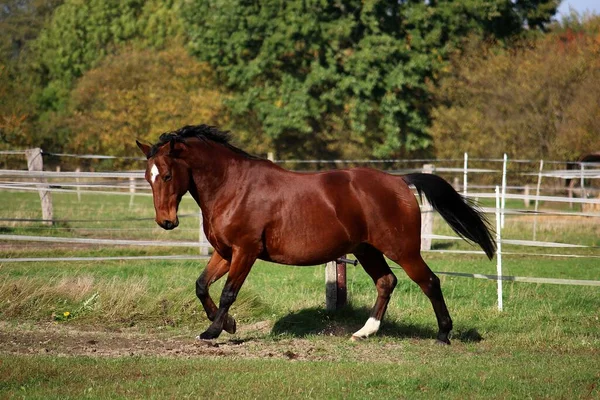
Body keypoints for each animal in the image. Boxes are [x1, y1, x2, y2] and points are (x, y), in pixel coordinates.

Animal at [138, 125, 494, 344]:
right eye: (147, 176)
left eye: (167, 175)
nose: (166, 222)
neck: (233, 187)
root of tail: (399, 181)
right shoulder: (225, 252)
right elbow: (201, 286)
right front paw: (228, 325)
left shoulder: (245, 251)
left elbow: (227, 293)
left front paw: (213, 332)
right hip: (366, 249)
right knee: (386, 282)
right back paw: (364, 332)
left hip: (402, 249)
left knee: (429, 282)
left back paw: (443, 334)